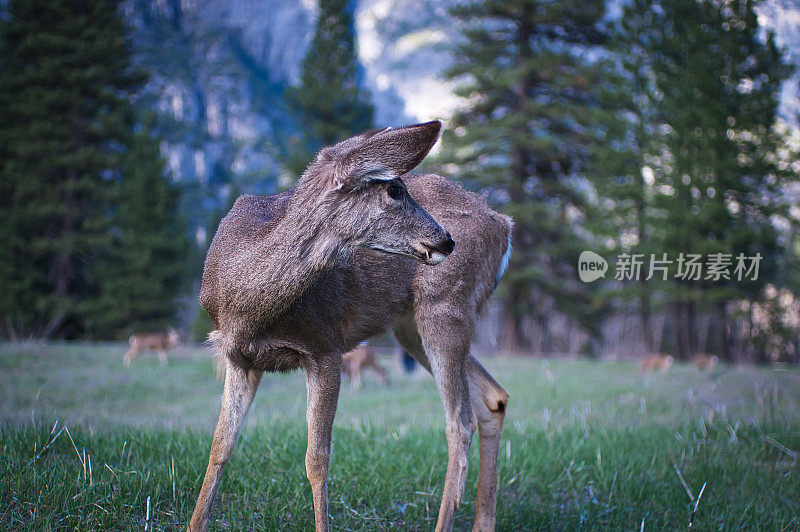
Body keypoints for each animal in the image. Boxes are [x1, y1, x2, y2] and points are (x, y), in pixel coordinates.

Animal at [188, 121, 512, 532]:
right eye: (394, 190)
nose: (446, 239)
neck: (246, 307)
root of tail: (504, 225)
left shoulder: (325, 346)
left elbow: (316, 460)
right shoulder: (239, 358)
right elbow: (219, 447)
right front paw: (194, 523)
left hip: (446, 306)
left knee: (460, 422)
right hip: (411, 327)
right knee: (493, 397)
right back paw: (484, 521)